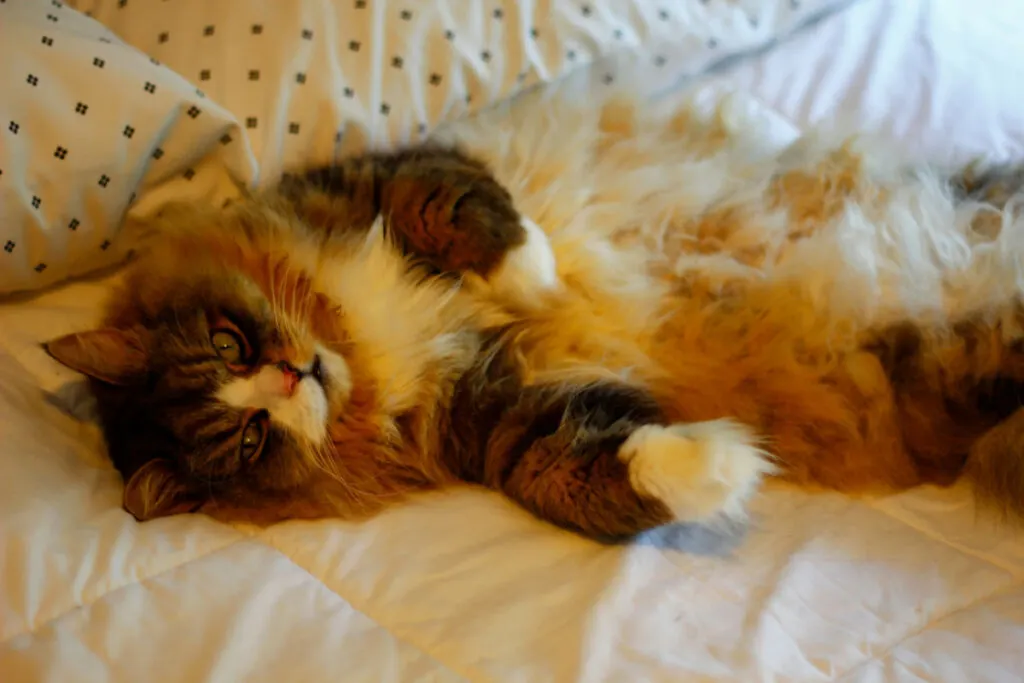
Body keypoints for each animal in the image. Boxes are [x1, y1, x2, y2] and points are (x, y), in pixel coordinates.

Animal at [44, 93, 1024, 540]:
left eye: (230, 340)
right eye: (249, 439)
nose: (292, 375)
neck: (362, 345)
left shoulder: (380, 177)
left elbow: (465, 213)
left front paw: (537, 274)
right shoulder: (497, 415)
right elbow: (582, 470)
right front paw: (726, 464)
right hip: (958, 366)